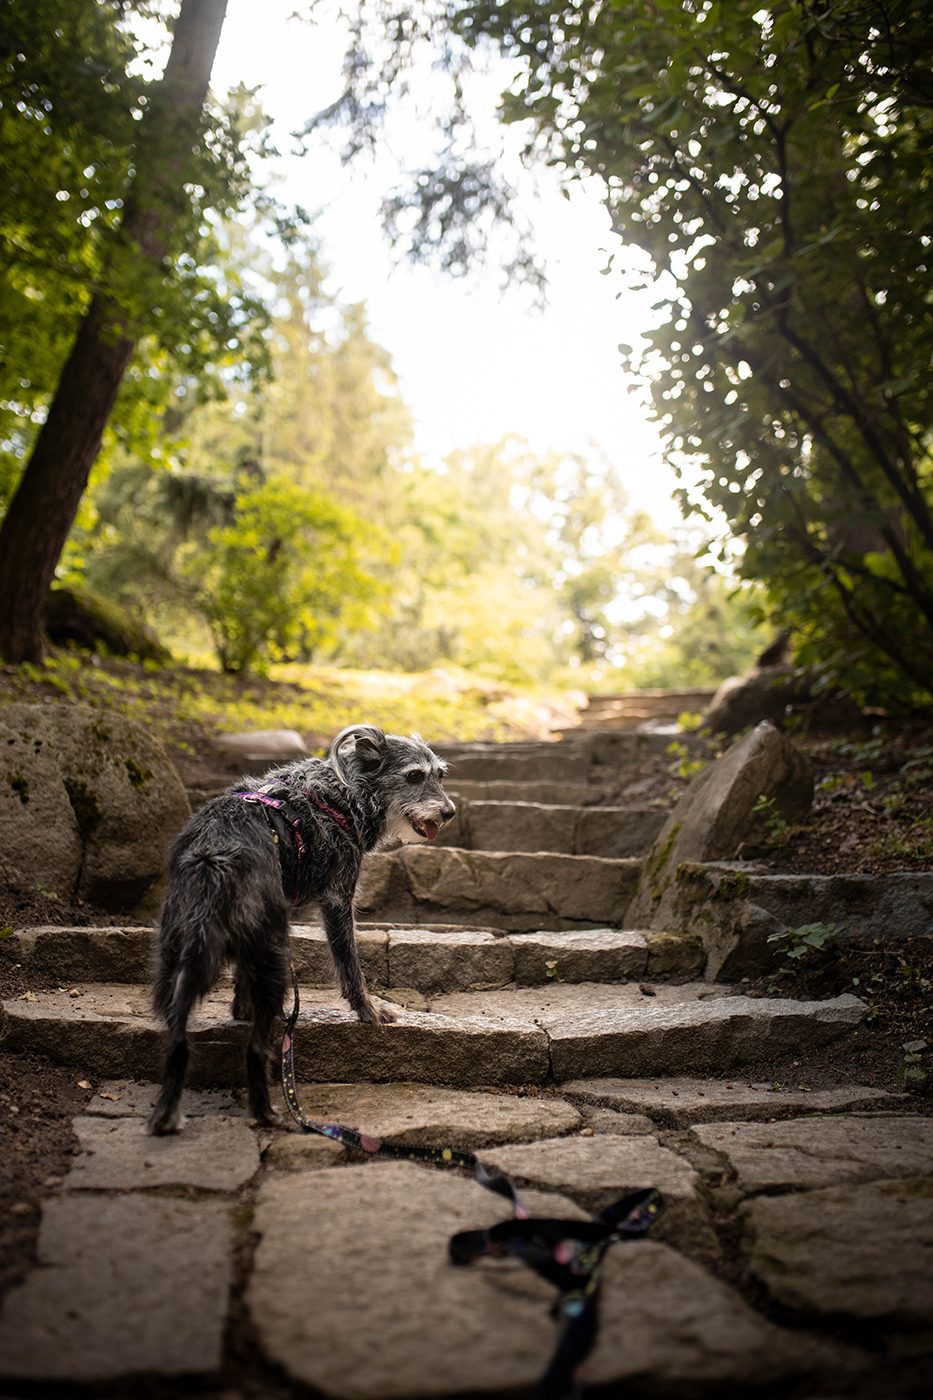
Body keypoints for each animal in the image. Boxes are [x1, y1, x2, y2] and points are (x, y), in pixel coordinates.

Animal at [147, 724, 455, 1135]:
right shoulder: (338, 901)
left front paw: (240, 1009)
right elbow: (350, 967)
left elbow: (241, 982)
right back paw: (265, 1113)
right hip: (275, 958)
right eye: (414, 776)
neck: (345, 793)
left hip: (177, 959)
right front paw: (369, 1010)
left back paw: (167, 1114)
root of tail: (214, 856)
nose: (450, 812)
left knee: (178, 1042)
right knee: (257, 1049)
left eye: (440, 774)